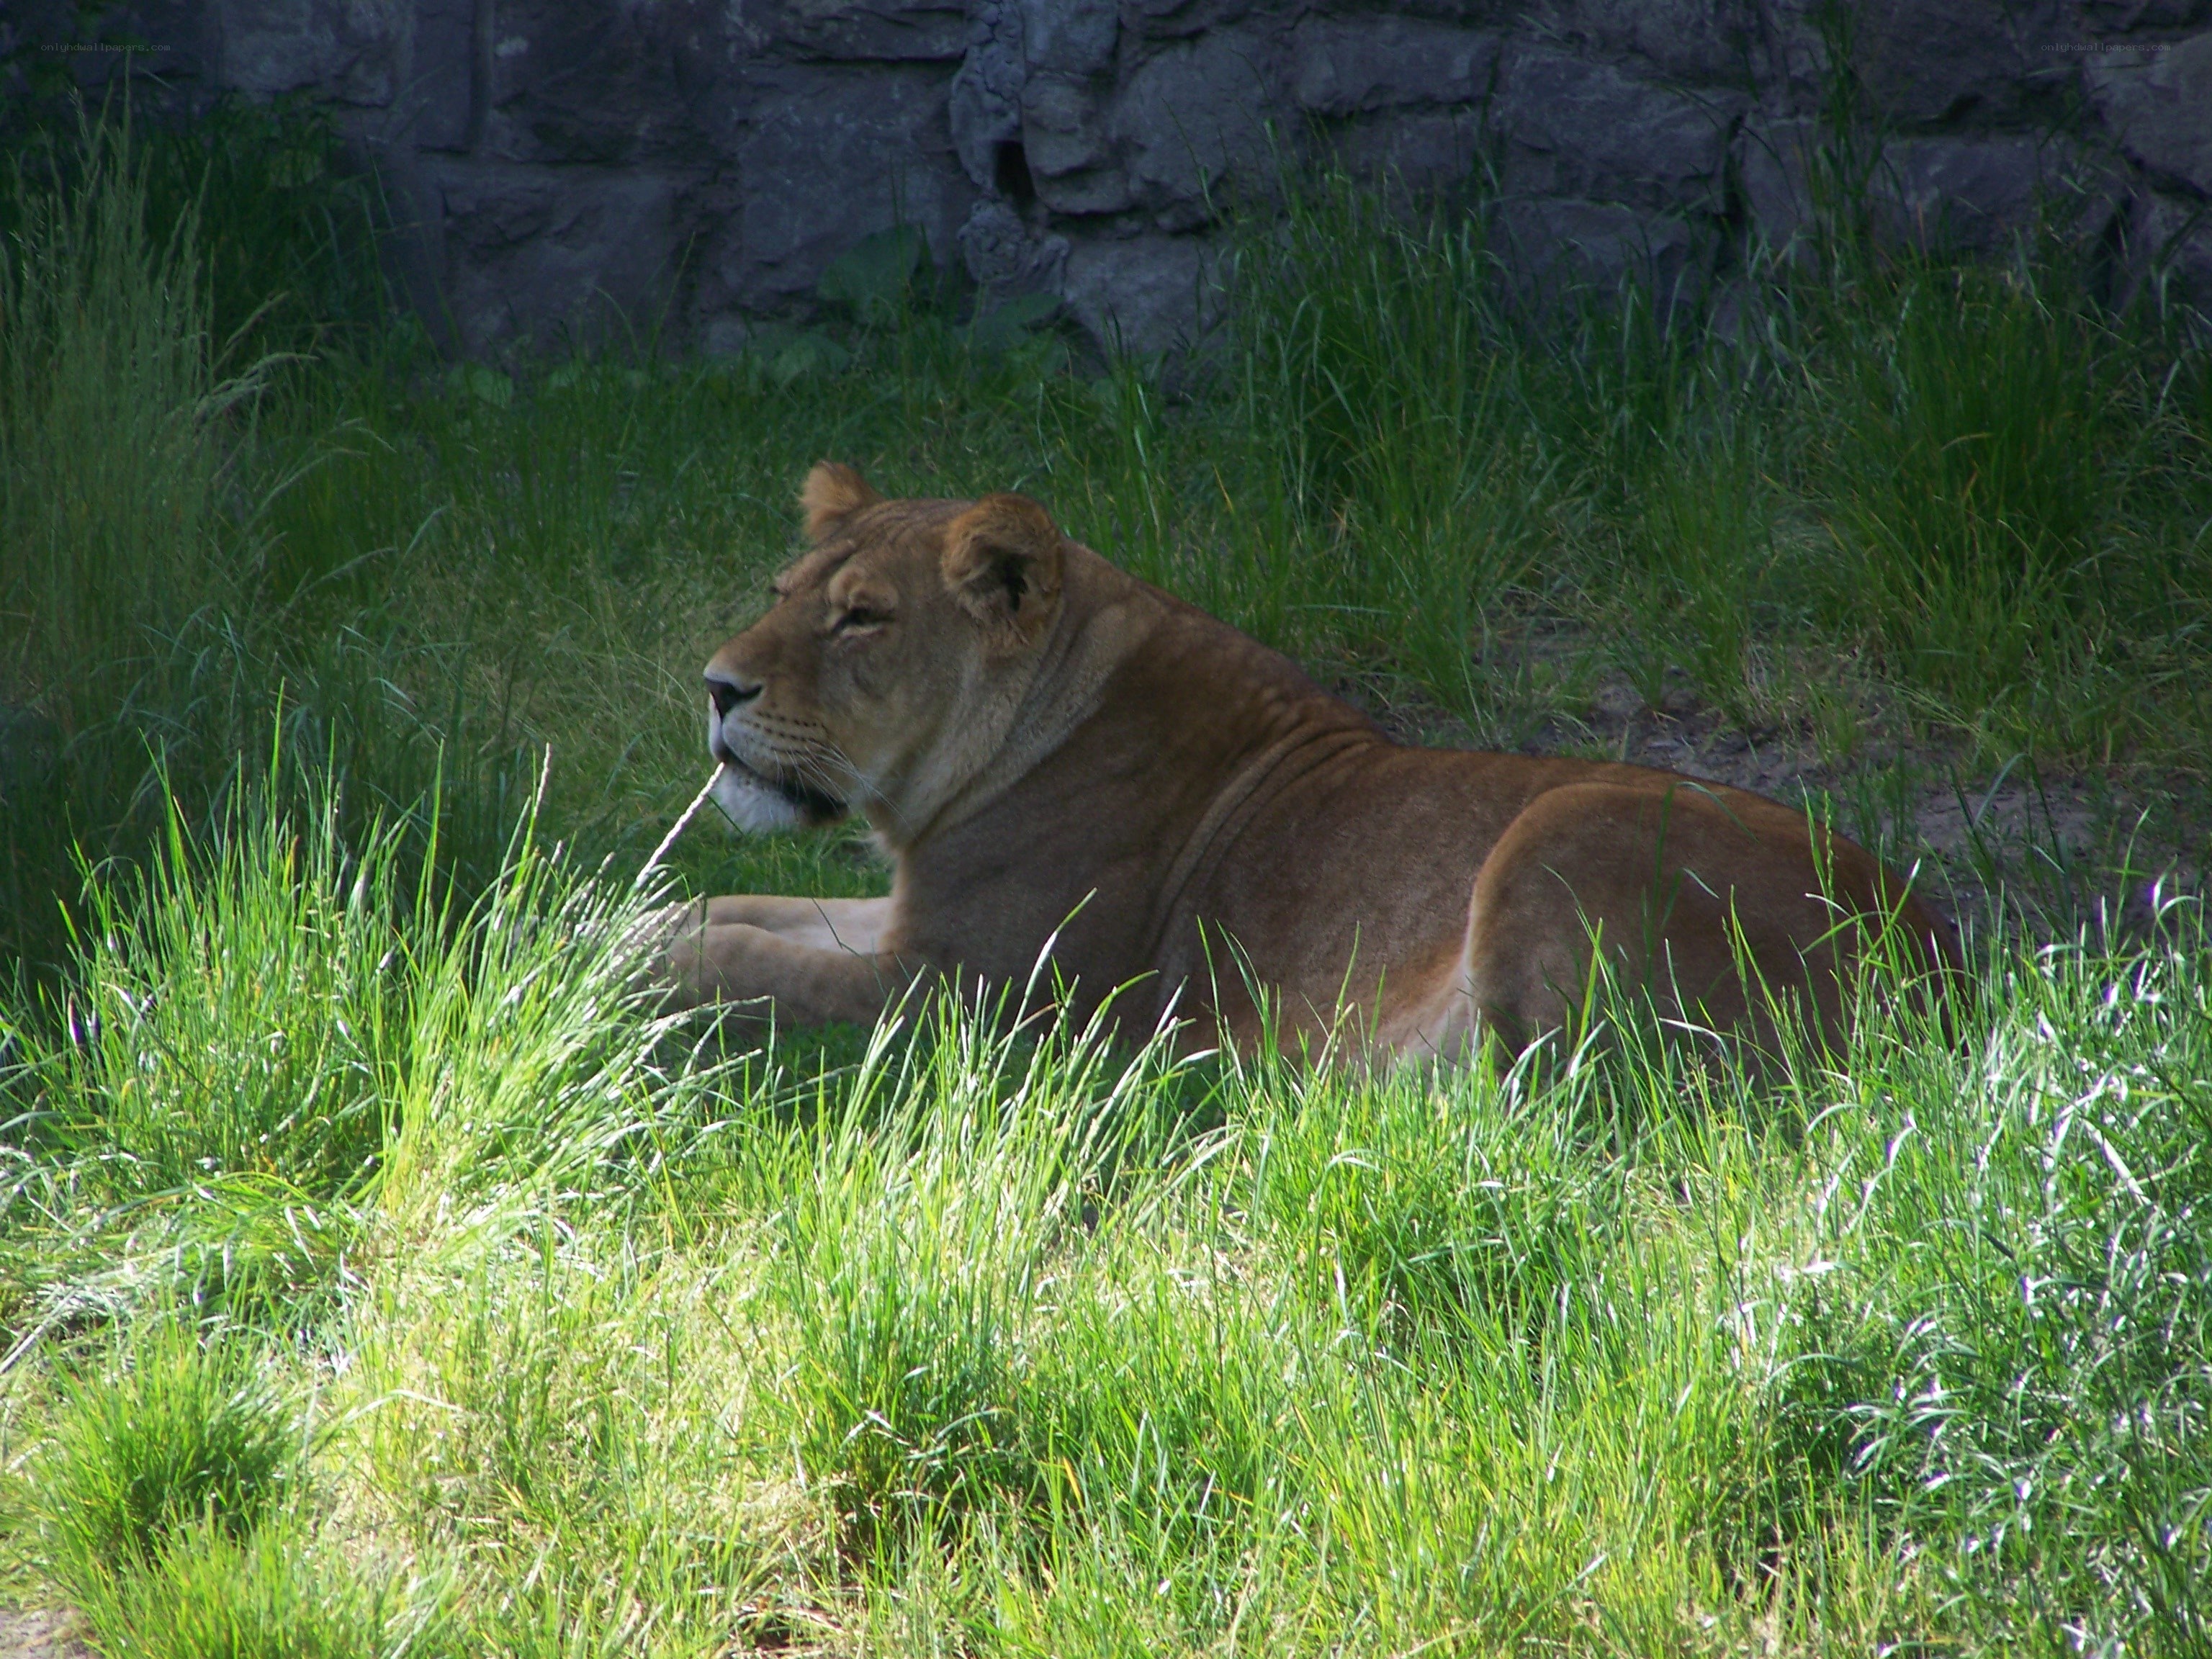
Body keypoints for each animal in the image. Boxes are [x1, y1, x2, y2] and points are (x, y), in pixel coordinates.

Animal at [656, 462, 1959, 1062]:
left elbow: (755, 961)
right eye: (783, 593)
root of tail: (1946, 965)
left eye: (861, 619)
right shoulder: (905, 927)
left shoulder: (973, 999)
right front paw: (627, 923)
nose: (717, 686)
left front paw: (642, 974)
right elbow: (743, 906)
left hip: (1566, 828)